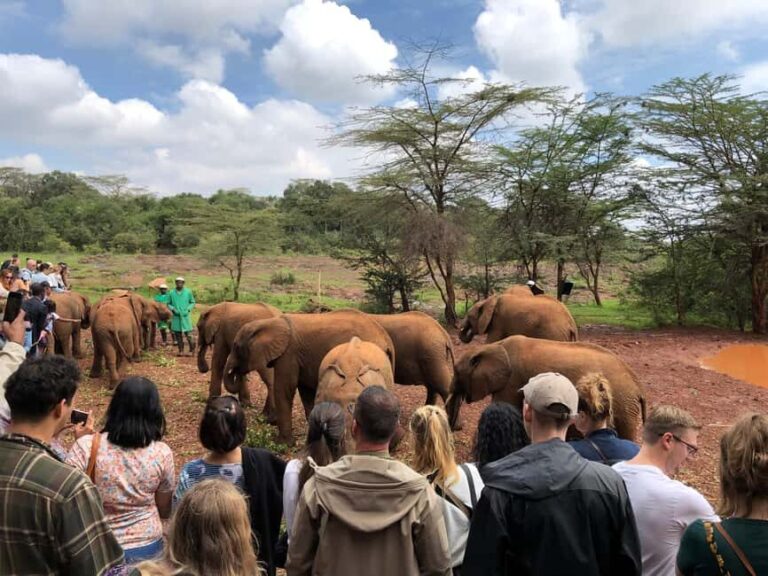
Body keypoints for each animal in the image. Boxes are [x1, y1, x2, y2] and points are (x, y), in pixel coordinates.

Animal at [223, 309, 395, 445]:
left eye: (236, 347)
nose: (236, 372)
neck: (269, 323)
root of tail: (386, 339)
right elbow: (306, 392)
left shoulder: (289, 354)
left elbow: (284, 389)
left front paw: (282, 444)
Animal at [446, 335, 646, 441]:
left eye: (456, 371)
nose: (453, 429)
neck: (495, 346)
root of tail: (637, 386)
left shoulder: (511, 381)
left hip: (623, 403)